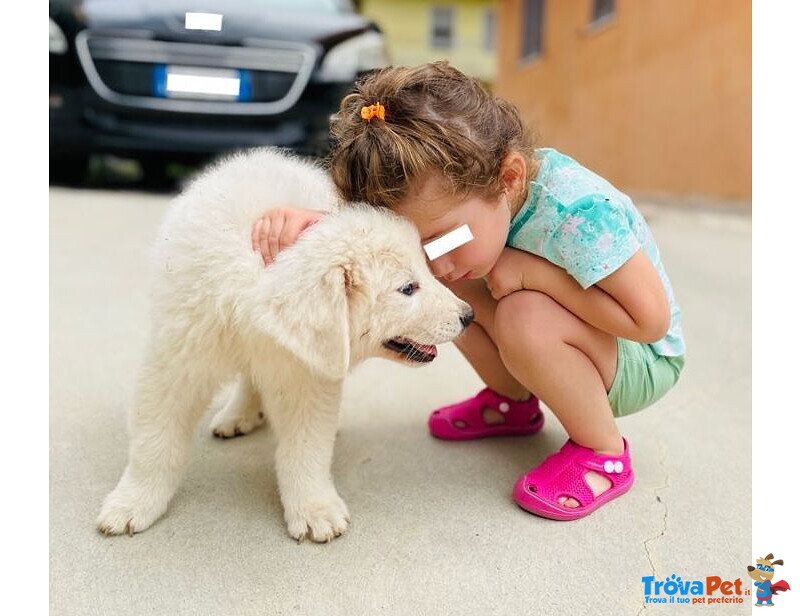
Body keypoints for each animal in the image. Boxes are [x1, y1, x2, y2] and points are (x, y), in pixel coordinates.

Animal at [97, 149, 472, 544]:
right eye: (408, 289)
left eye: (427, 273)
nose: (468, 315)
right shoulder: (180, 355)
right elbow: (154, 438)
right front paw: (132, 503)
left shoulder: (307, 372)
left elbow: (306, 448)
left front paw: (314, 509)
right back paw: (238, 414)